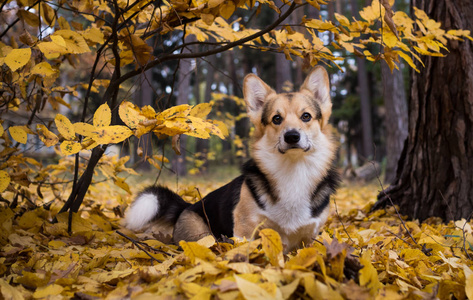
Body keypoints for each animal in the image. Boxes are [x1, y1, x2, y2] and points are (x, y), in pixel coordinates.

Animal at [124, 66, 340, 253]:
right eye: (276, 119)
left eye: (306, 116)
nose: (292, 136)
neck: (293, 170)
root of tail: (188, 206)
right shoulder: (246, 232)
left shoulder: (309, 238)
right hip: (202, 236)